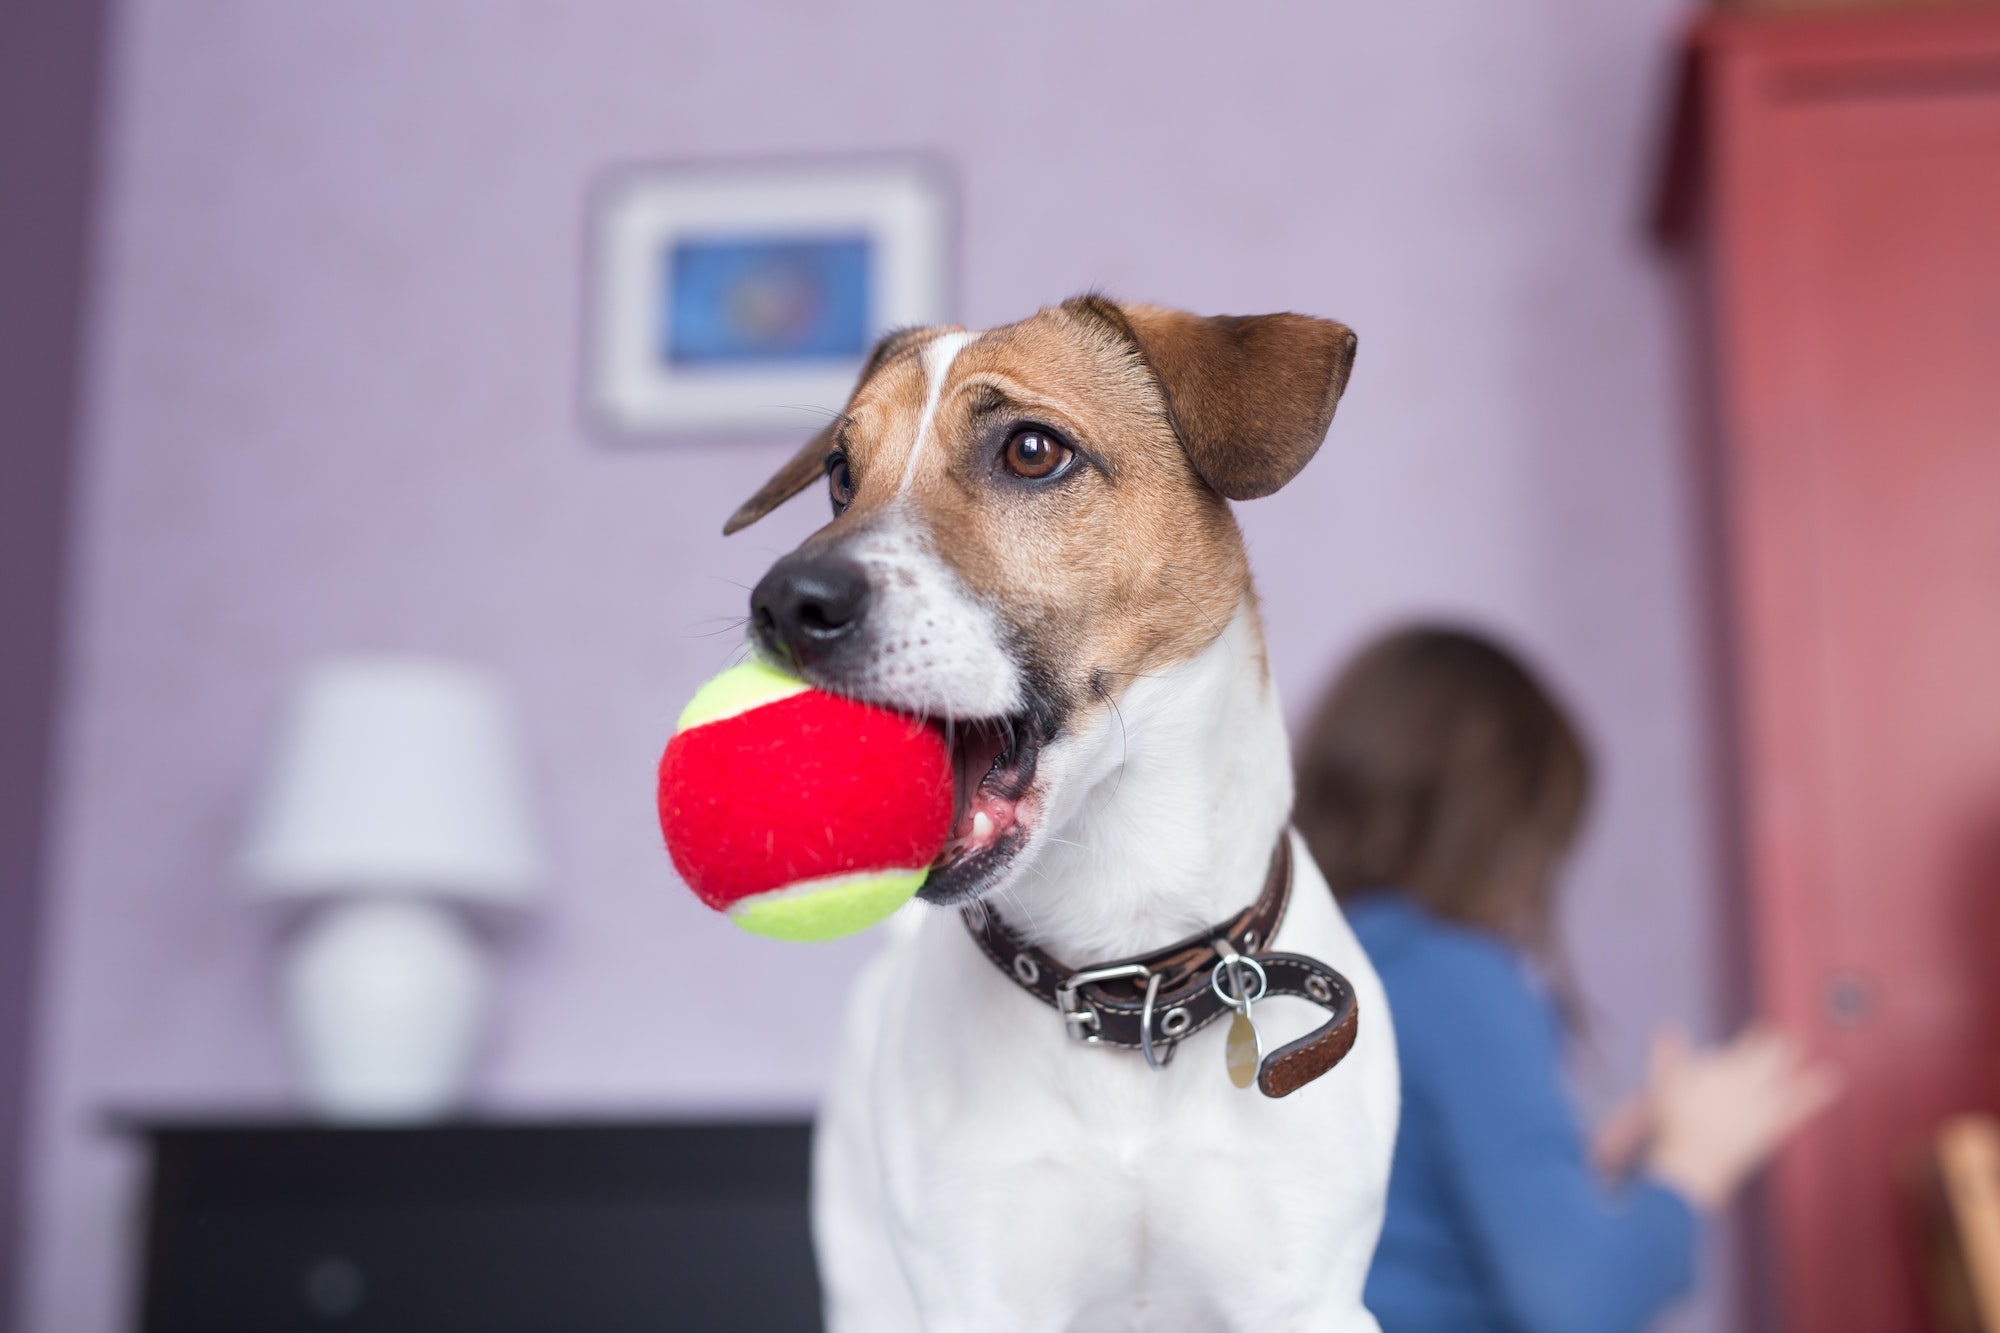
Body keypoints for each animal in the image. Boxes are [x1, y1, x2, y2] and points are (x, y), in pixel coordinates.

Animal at [728, 300, 1400, 1328]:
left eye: (1032, 450)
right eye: (841, 473)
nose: (782, 604)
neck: (1126, 975)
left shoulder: (1307, 1300)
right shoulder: (975, 1295)